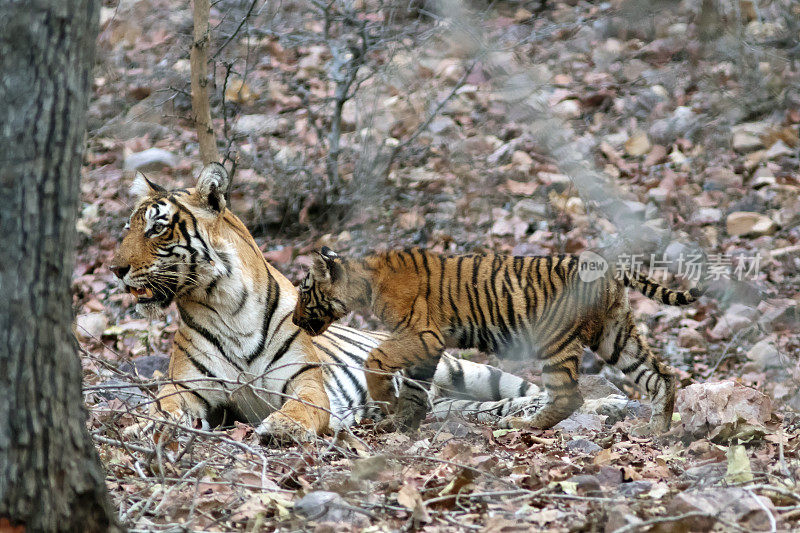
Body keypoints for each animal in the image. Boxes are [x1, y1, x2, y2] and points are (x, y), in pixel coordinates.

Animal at [111, 163, 564, 440]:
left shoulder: (305, 381)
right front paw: (139, 428)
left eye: (157, 228)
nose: (114, 268)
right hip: (446, 397)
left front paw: (282, 428)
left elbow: (304, 407)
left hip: (467, 369)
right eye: (127, 228)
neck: (225, 302)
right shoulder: (188, 388)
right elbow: (163, 406)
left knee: (531, 389)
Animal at [292, 245, 700, 432]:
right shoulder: (428, 345)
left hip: (555, 340)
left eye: (305, 291)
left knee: (569, 395)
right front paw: (404, 420)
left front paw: (387, 404)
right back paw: (658, 429)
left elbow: (375, 359)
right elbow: (415, 386)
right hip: (615, 336)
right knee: (662, 376)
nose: (294, 319)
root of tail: (610, 269)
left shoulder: (420, 334)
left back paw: (524, 426)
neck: (366, 283)